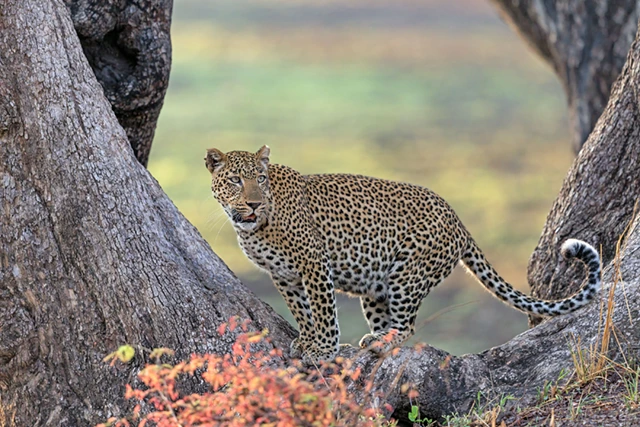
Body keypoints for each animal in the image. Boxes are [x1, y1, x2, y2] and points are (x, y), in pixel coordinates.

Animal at [205, 145, 601, 362]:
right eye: (236, 181)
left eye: (260, 178)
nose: (254, 203)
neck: (253, 226)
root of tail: (458, 219)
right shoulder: (283, 274)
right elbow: (302, 311)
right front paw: (306, 339)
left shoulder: (314, 262)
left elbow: (323, 310)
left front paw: (324, 349)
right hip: (375, 284)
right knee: (386, 318)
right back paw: (377, 339)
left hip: (407, 276)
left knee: (408, 325)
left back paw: (383, 343)